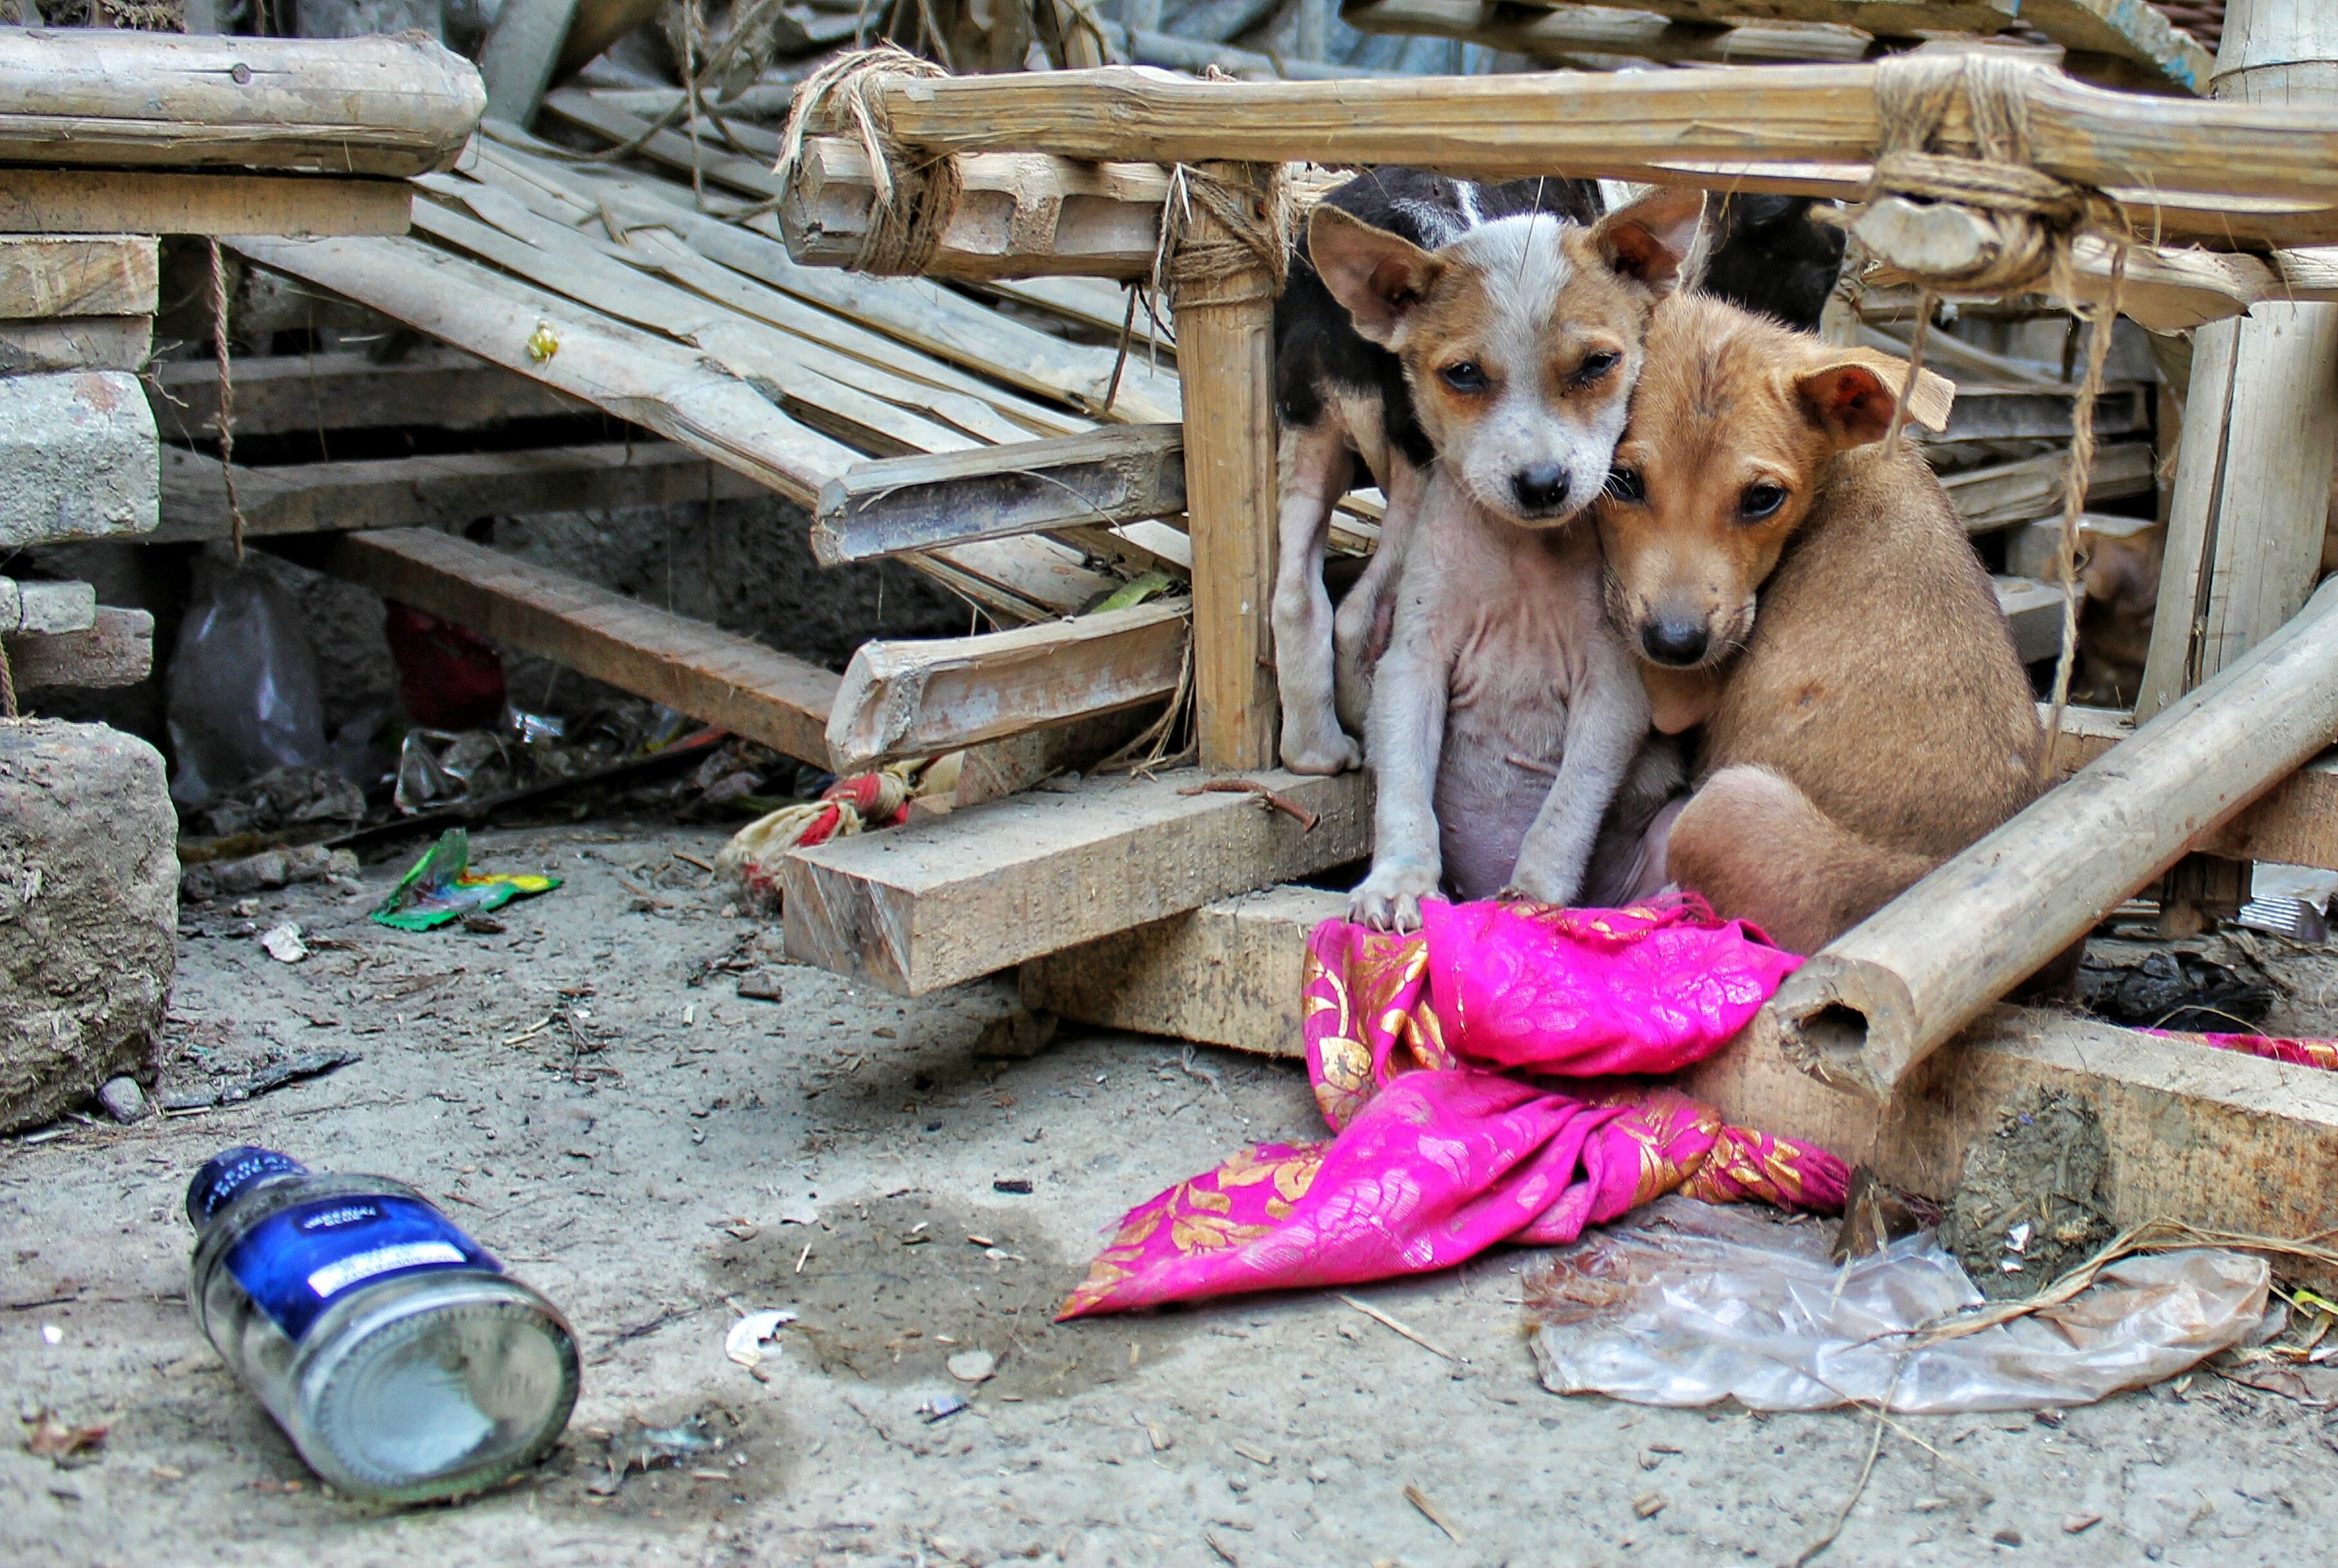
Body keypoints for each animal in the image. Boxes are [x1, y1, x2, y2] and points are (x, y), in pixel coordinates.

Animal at [1599, 294, 2039, 958]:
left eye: (1763, 498)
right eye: (1622, 481)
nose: (1676, 645)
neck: (1847, 466)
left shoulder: (1680, 690)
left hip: (1724, 805)